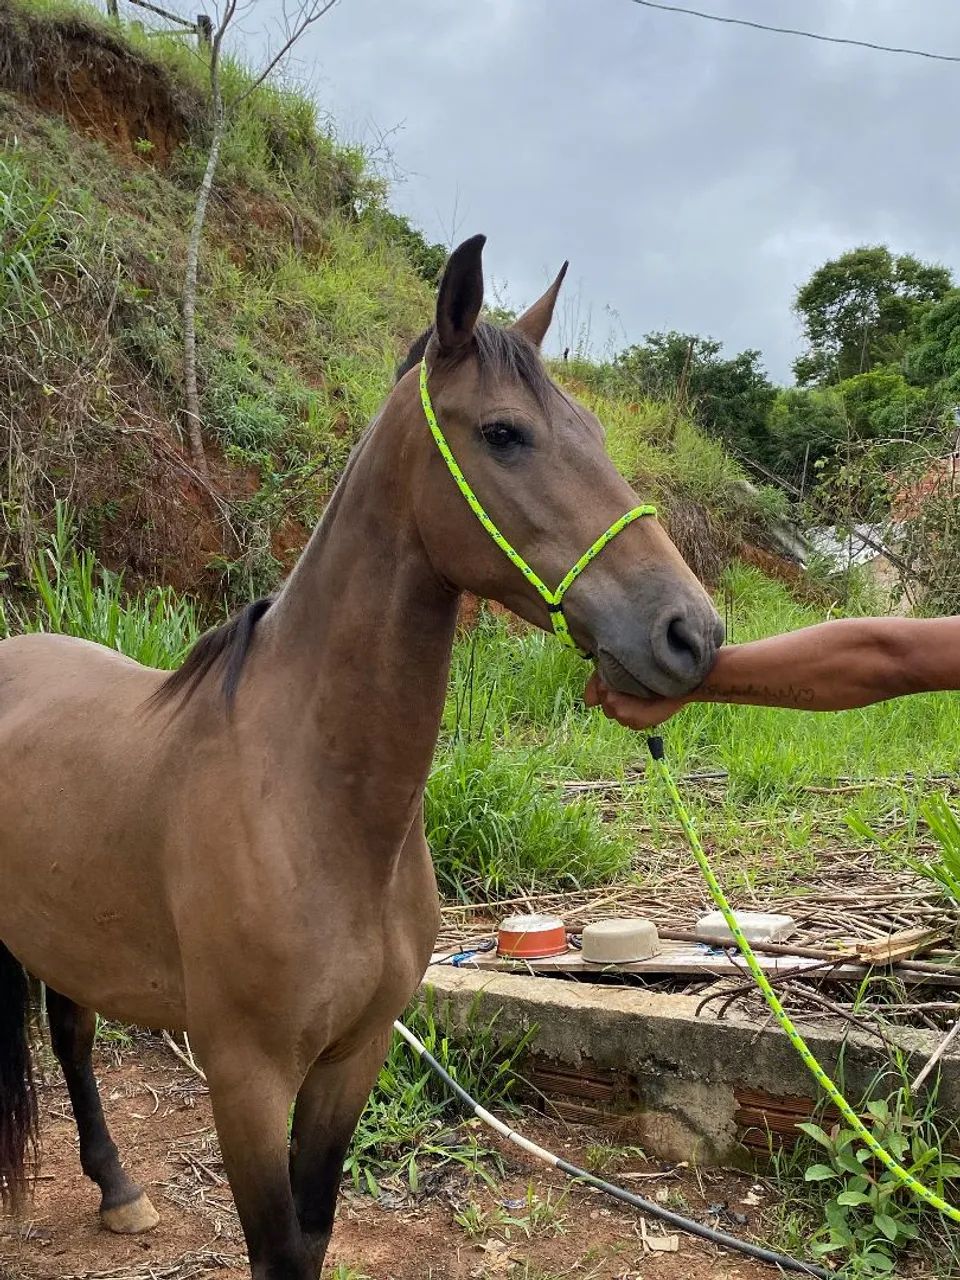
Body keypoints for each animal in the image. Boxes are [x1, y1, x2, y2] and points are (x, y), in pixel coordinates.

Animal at [0, 234, 722, 1279]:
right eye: (504, 434)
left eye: (590, 427)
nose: (691, 633)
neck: (315, 800)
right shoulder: (246, 1077)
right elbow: (276, 1249)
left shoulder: (356, 1056)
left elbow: (312, 1234)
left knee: (71, 1034)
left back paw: (119, 1191)